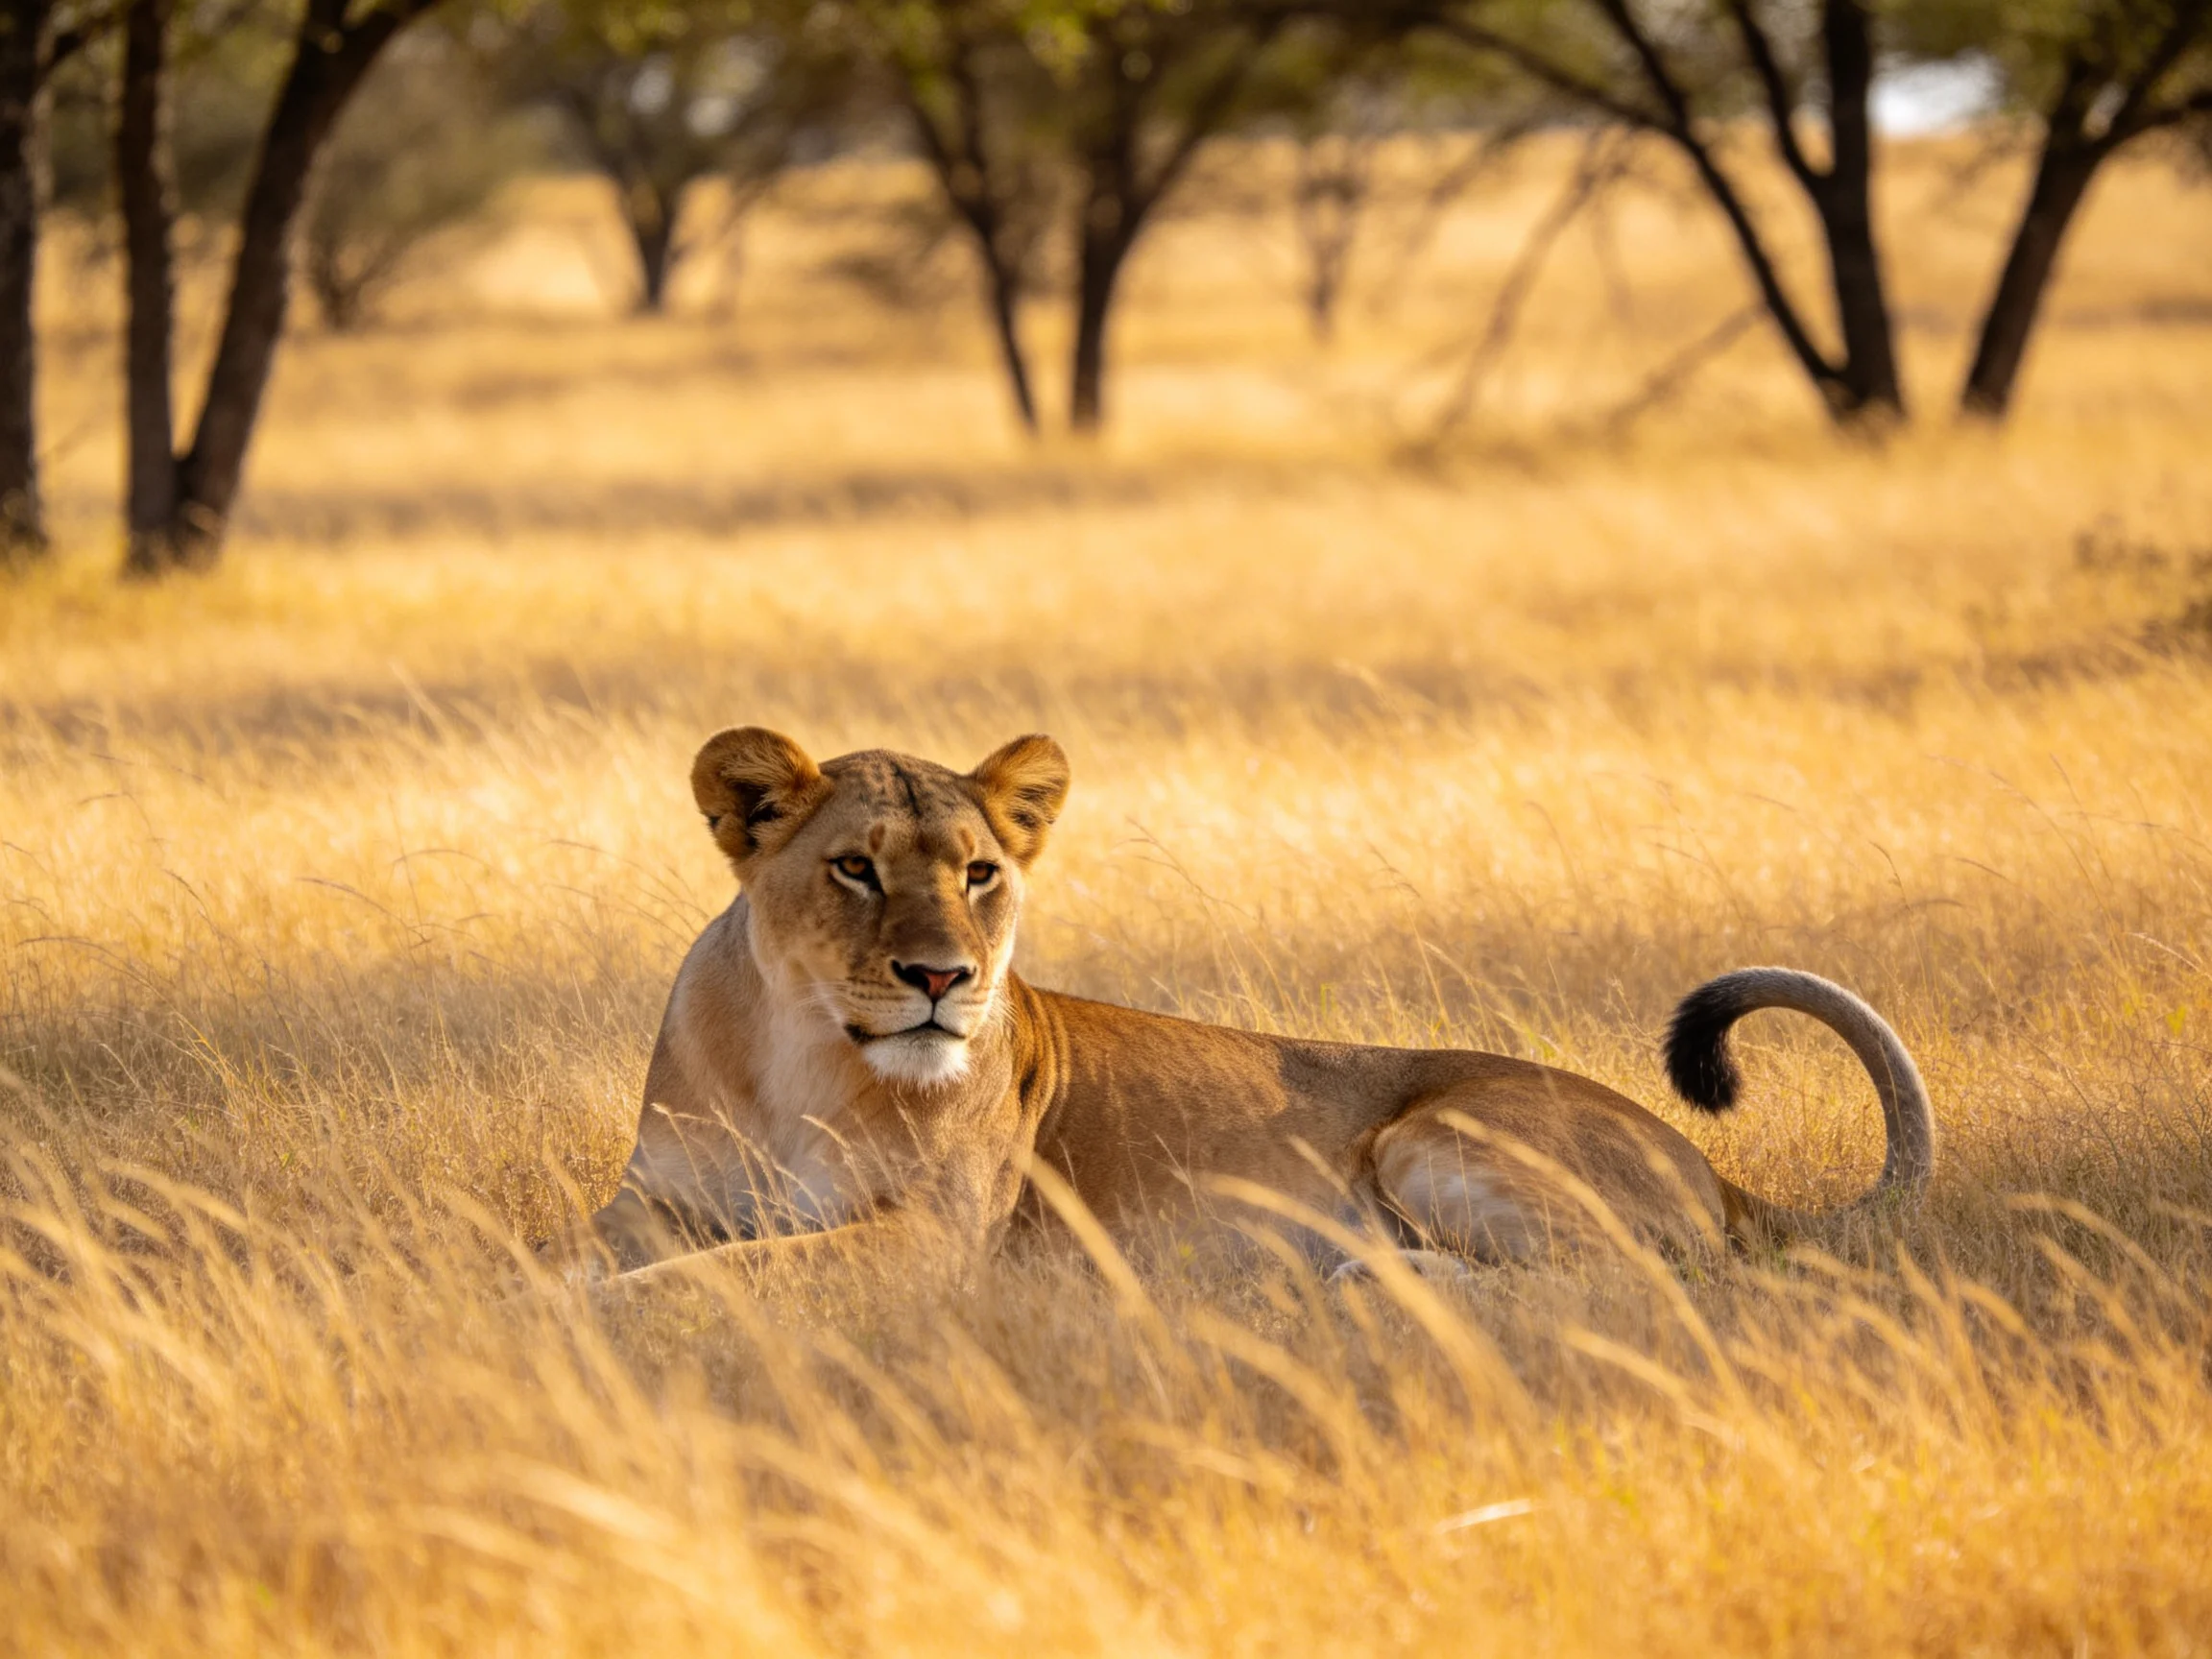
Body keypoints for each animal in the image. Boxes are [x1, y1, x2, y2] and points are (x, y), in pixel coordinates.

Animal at [575, 728, 1934, 1286]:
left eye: (980, 876)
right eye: (854, 868)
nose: (943, 980)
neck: (800, 1057)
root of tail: (1709, 1166)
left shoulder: (934, 1238)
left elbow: (712, 1281)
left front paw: (581, 1317)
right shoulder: (653, 1199)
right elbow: (583, 1250)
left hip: (1429, 1134)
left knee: (1639, 1288)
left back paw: (1373, 1286)